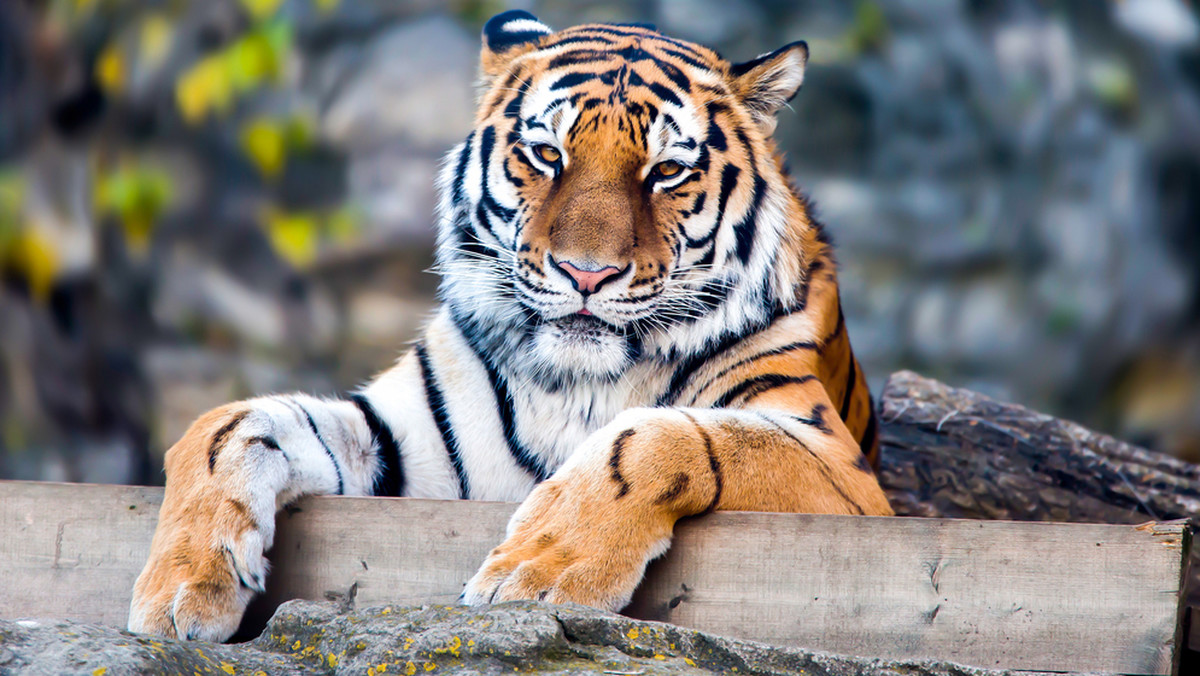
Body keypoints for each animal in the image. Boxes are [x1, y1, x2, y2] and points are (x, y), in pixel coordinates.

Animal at [129, 13, 892, 643]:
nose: (586, 274)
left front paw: (538, 572)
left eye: (668, 171)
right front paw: (177, 589)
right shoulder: (405, 449)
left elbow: (658, 434)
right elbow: (226, 425)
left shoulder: (843, 474)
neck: (576, 381)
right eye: (548, 155)